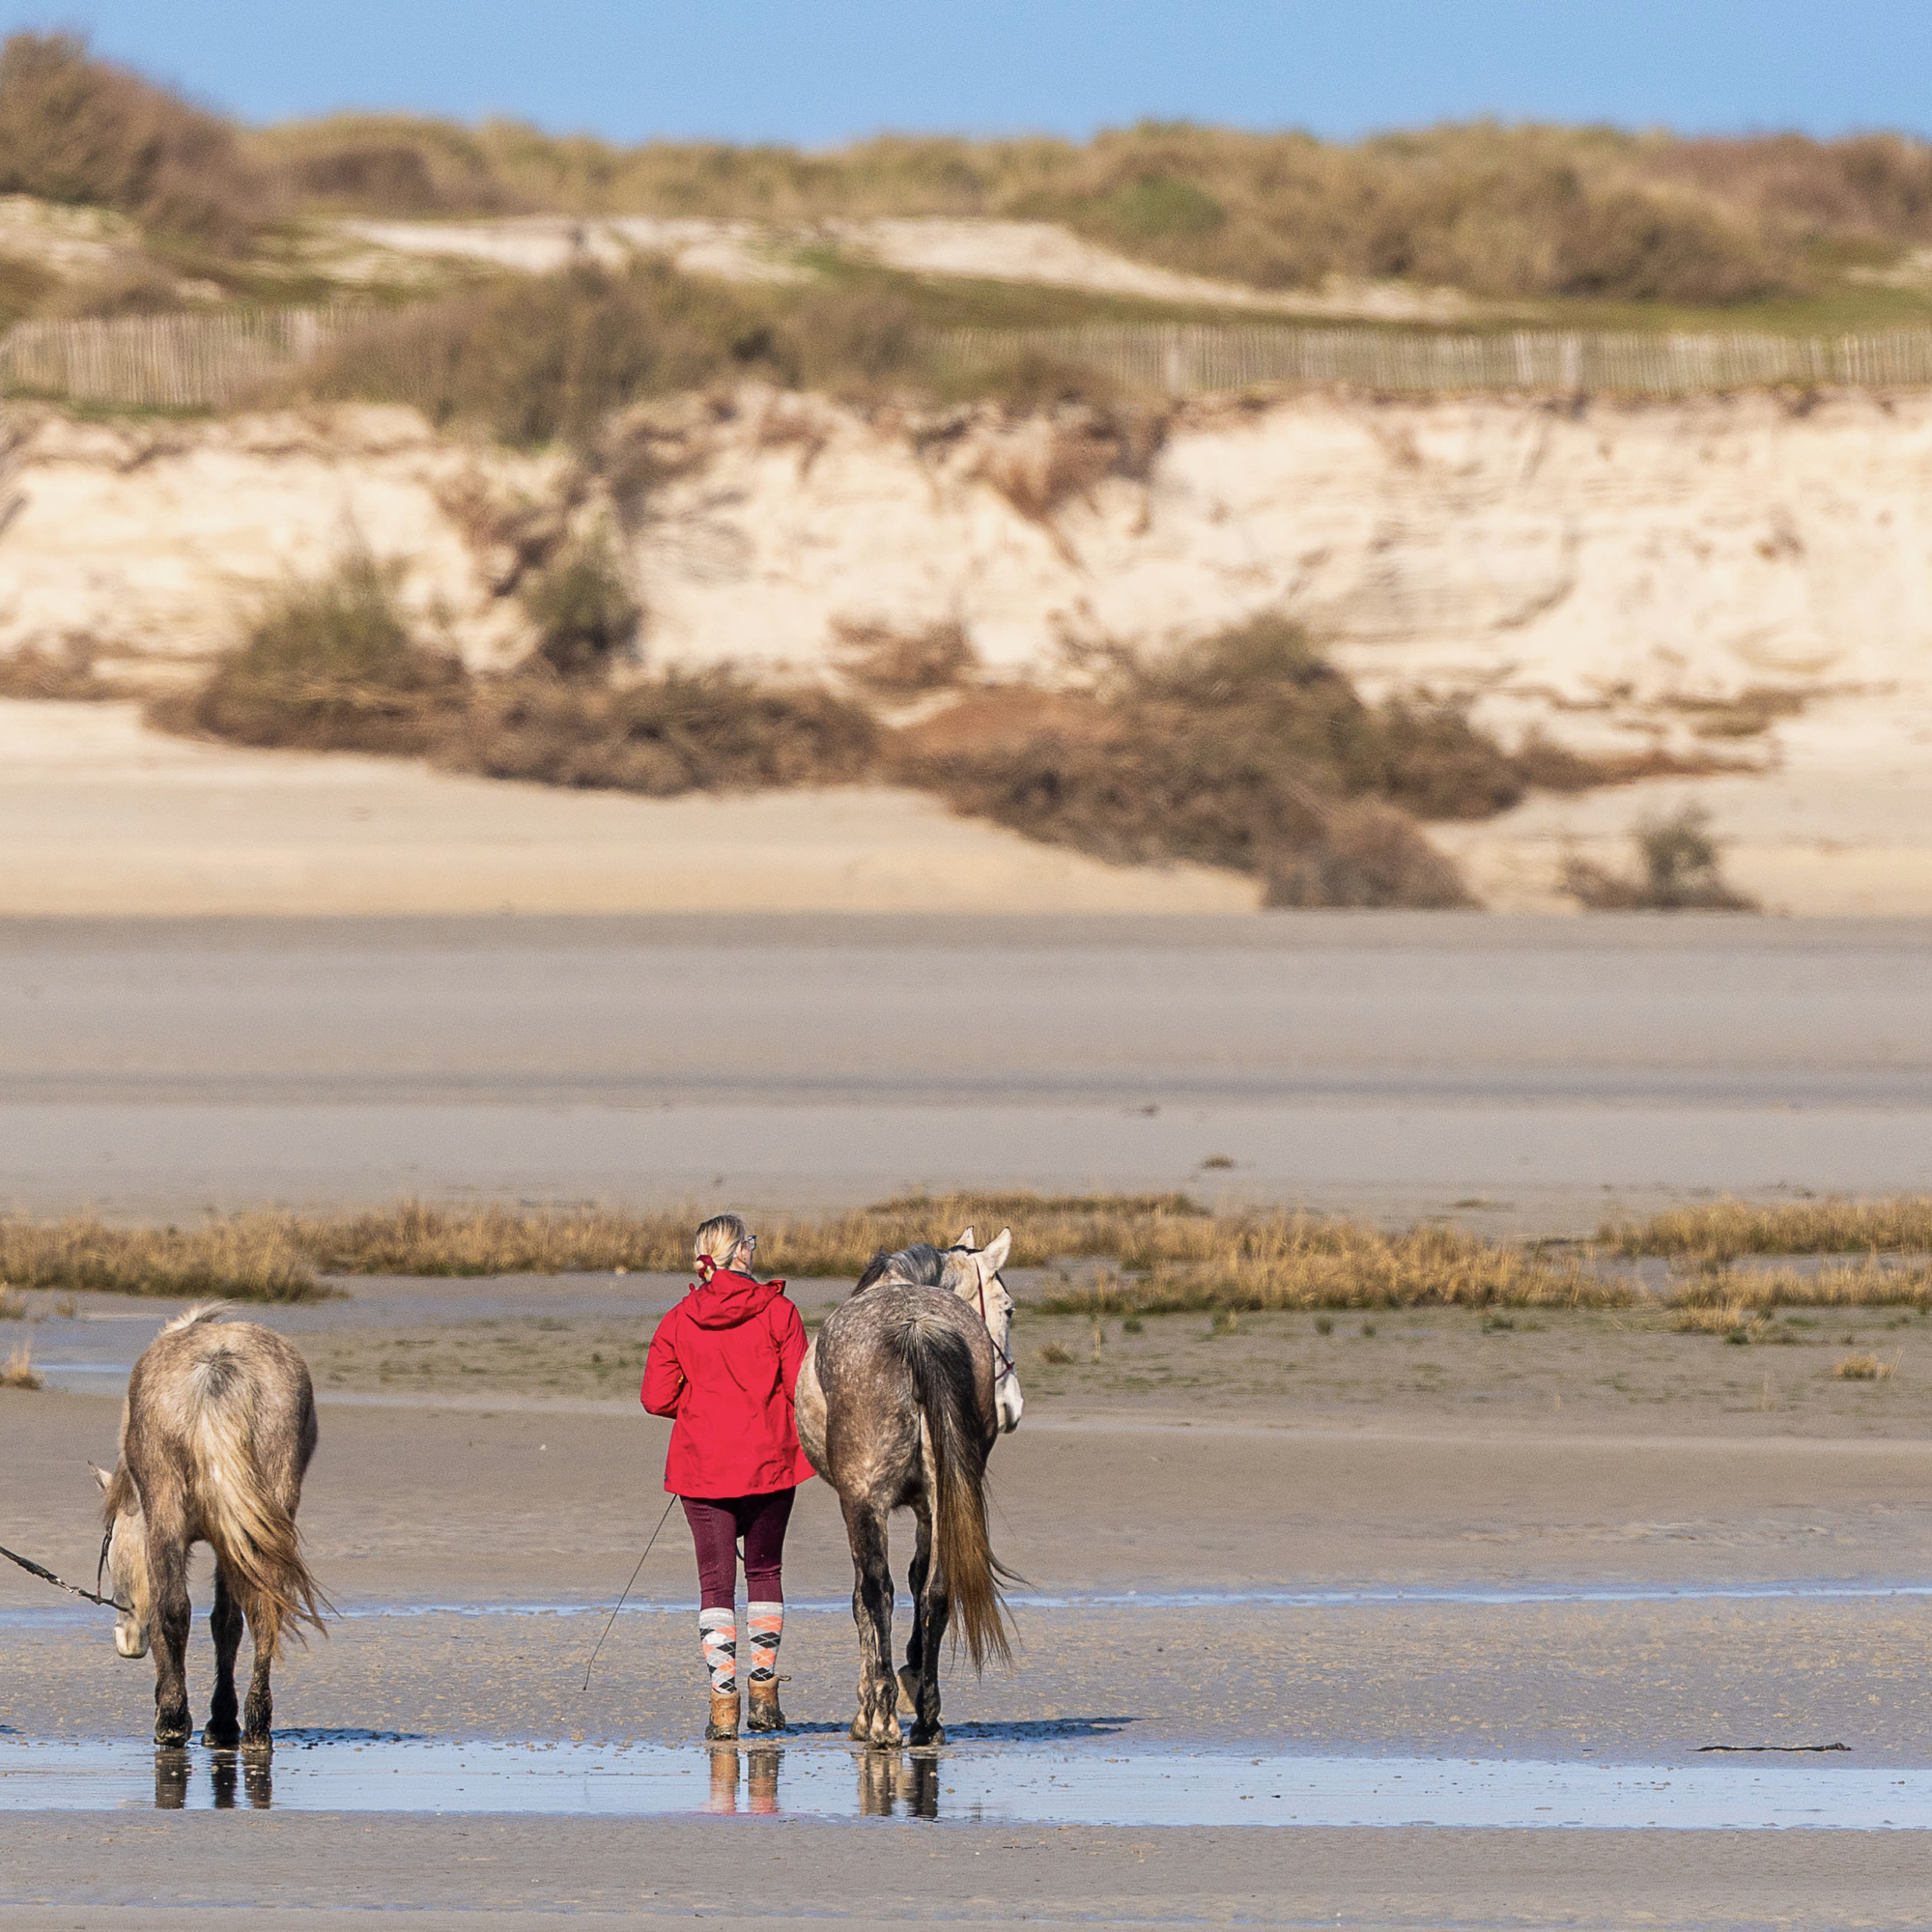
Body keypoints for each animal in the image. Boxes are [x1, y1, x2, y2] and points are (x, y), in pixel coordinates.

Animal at [94, 1305, 329, 1749]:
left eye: (109, 1539)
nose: (128, 1643)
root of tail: (217, 1369)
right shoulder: (232, 1539)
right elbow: (227, 1622)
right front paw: (222, 1720)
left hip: (167, 1513)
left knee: (173, 1608)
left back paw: (171, 1722)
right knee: (264, 1610)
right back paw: (254, 1725)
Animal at [793, 1225, 1023, 1748]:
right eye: (1008, 1309)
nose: (1013, 1405)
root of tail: (915, 1327)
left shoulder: (859, 1504)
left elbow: (865, 1601)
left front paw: (869, 1707)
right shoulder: (927, 1505)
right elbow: (923, 1583)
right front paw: (914, 1678)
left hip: (862, 1500)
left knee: (876, 1590)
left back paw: (881, 1716)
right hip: (942, 1497)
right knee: (937, 1590)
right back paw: (927, 1717)